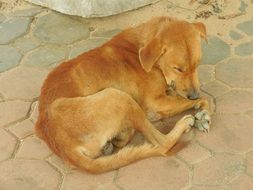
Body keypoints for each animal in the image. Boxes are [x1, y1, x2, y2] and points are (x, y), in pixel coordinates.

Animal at [35, 16, 210, 174]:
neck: (140, 49)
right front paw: (204, 110)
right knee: (162, 143)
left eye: (197, 64)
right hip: (119, 97)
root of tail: (62, 147)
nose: (194, 95)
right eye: (178, 69)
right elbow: (206, 98)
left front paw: (201, 111)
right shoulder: (155, 102)